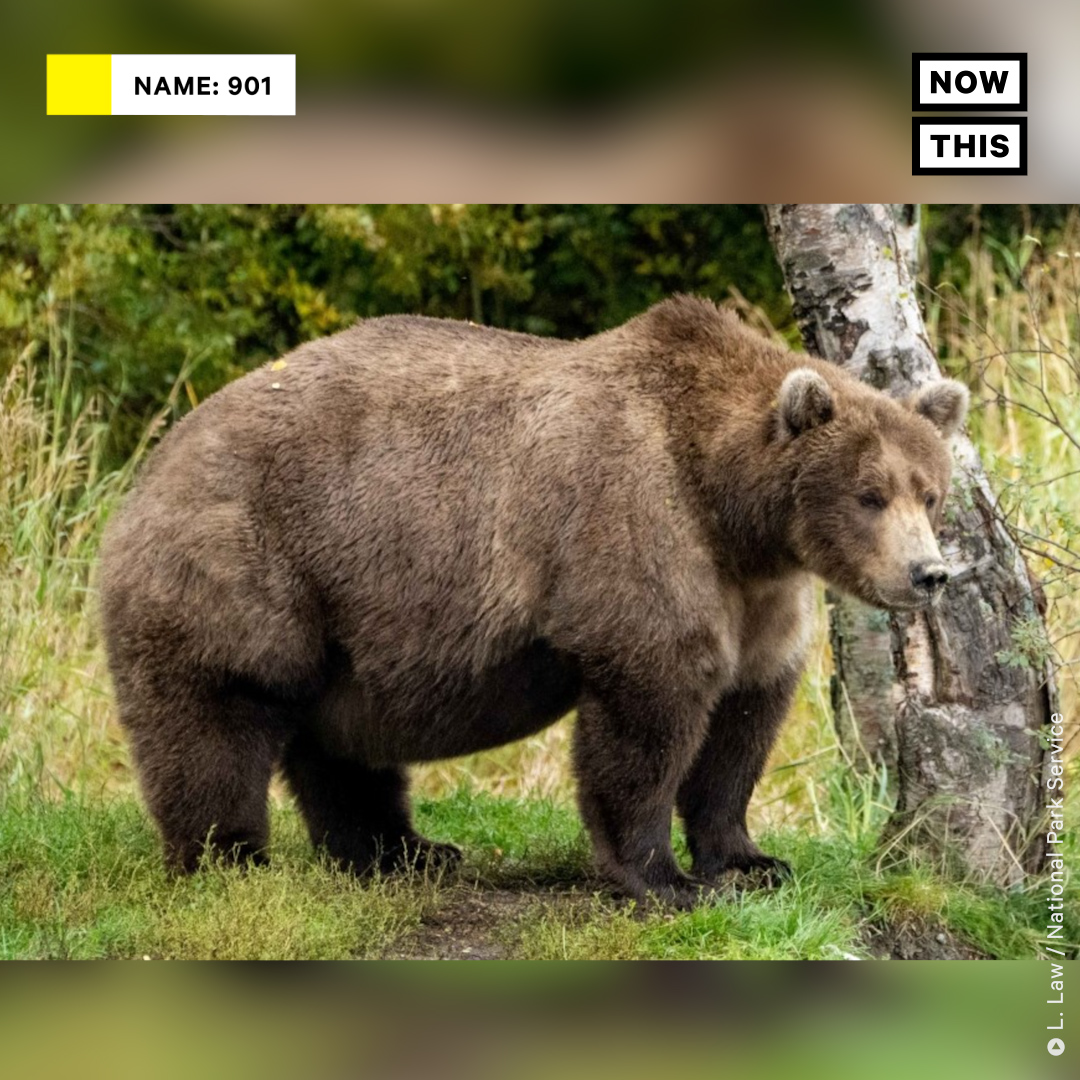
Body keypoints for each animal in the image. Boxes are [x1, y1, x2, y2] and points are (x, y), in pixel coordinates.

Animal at [99, 295, 969, 908]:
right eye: (868, 494)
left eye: (930, 491)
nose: (928, 573)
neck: (733, 511)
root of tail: (152, 465)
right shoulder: (634, 525)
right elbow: (650, 712)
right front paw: (663, 878)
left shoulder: (762, 596)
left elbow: (744, 720)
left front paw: (752, 861)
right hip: (246, 563)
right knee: (215, 715)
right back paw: (230, 859)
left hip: (347, 617)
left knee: (341, 740)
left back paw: (406, 851)